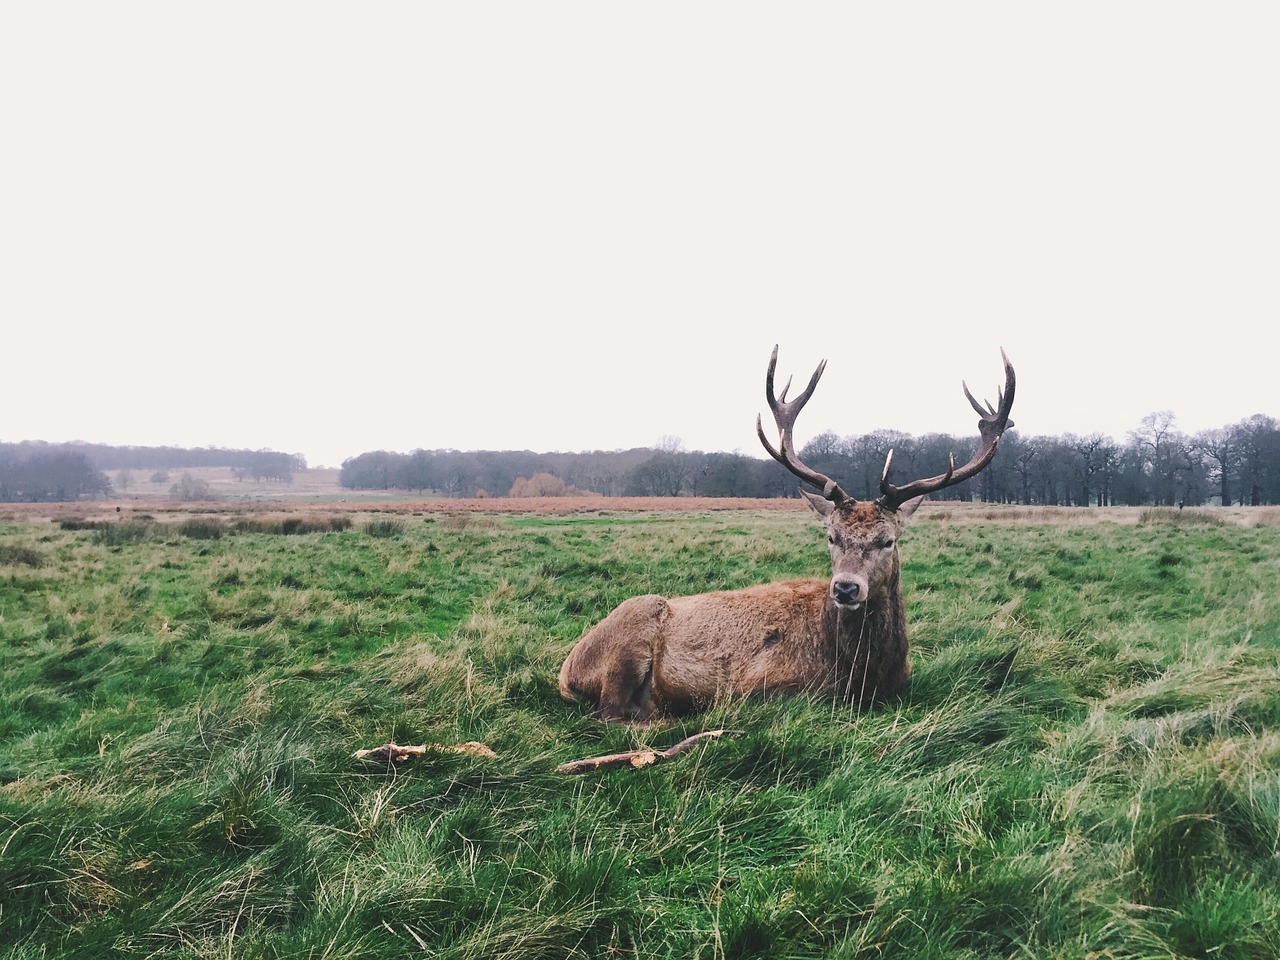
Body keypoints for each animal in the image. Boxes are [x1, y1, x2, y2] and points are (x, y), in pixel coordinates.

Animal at [555, 345, 1013, 721]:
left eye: (888, 540)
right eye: (831, 536)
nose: (846, 588)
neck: (862, 675)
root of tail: (567, 669)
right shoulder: (760, 686)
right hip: (629, 637)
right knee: (612, 713)